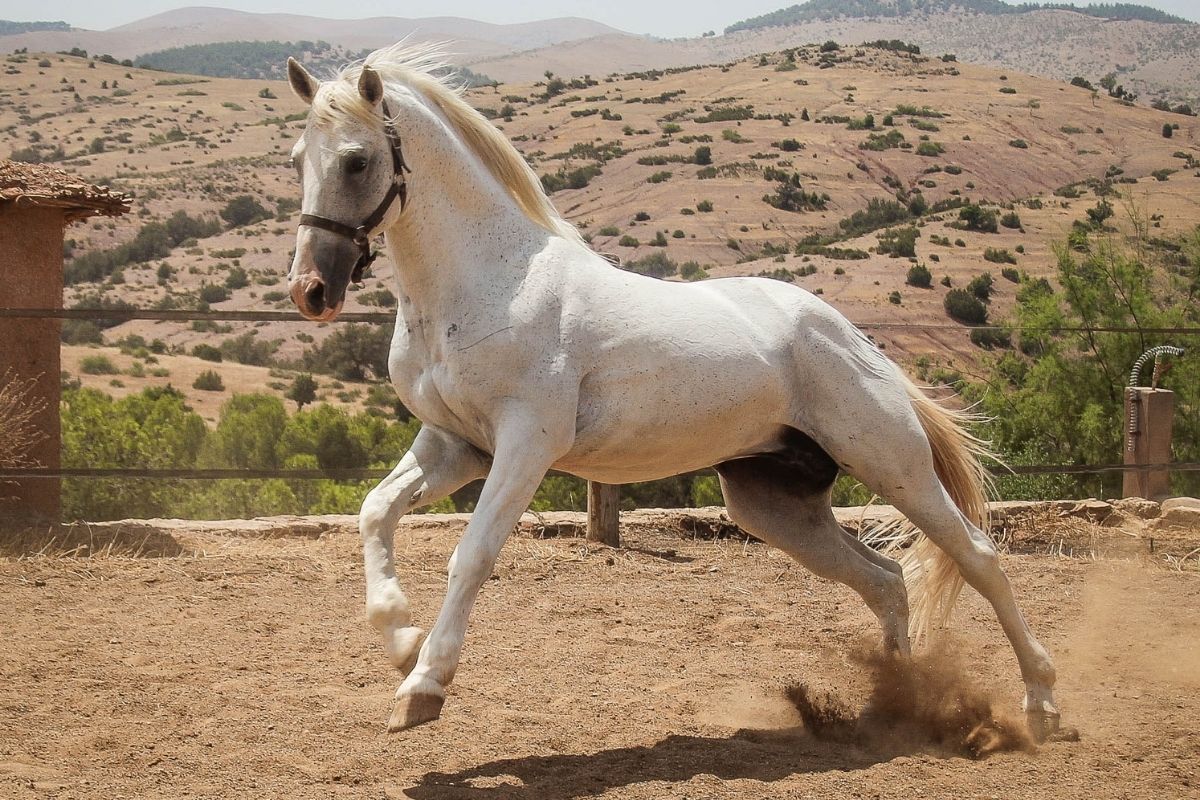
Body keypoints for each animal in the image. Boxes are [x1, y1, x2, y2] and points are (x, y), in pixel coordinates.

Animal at [282, 43, 1060, 739]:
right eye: (297, 160)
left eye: (356, 160)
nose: (311, 292)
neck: (485, 284)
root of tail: (853, 339)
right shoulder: (454, 445)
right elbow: (374, 512)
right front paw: (399, 638)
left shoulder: (524, 445)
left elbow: (470, 557)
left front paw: (422, 688)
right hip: (773, 505)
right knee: (887, 578)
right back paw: (896, 707)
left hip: (891, 463)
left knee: (979, 558)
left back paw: (1043, 707)